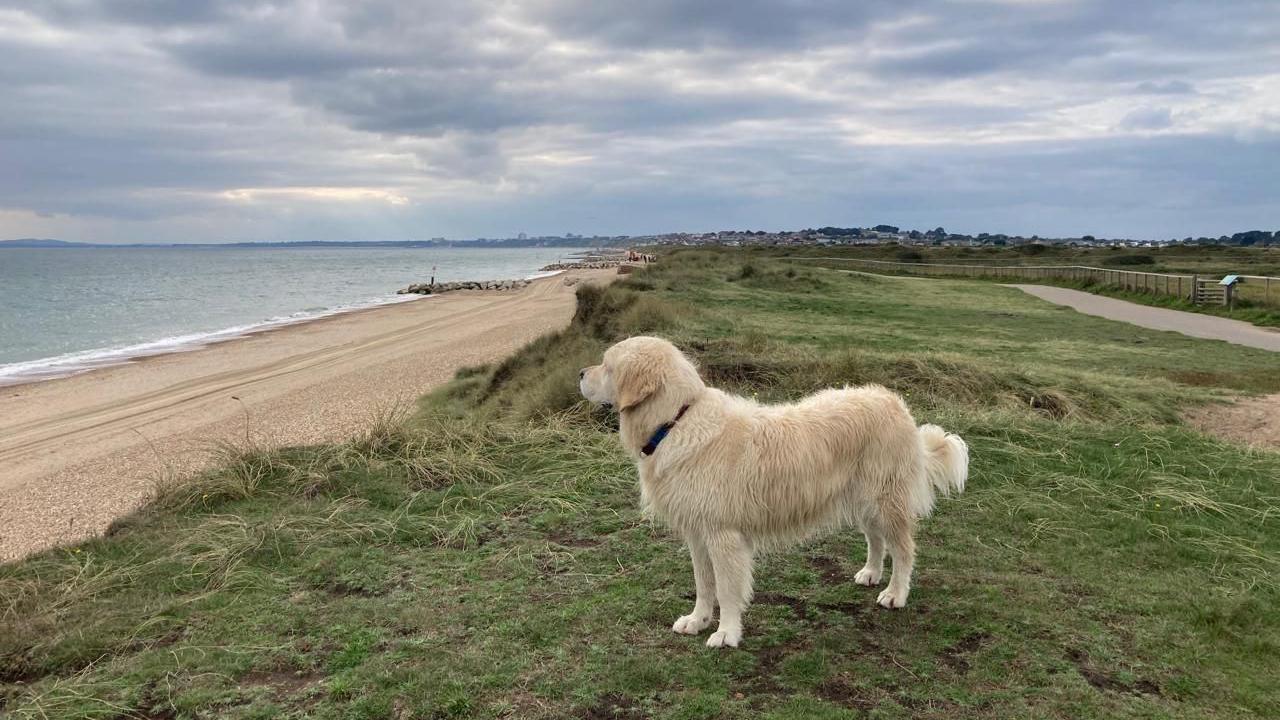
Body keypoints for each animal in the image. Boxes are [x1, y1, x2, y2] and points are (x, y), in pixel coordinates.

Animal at [581, 335, 967, 645]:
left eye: (608, 365)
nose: (581, 374)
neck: (676, 420)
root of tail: (893, 402)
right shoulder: (697, 533)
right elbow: (704, 584)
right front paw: (697, 620)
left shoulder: (723, 535)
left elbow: (726, 589)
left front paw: (726, 633)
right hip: (861, 500)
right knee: (876, 540)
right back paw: (870, 573)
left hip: (885, 500)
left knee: (903, 549)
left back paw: (895, 593)